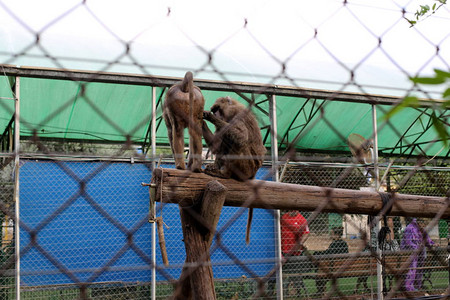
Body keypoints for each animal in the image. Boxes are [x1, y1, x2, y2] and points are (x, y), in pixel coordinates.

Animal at [202, 96, 266, 244]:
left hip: (246, 167)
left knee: (238, 142)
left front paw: (209, 118)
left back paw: (224, 173)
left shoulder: (239, 116)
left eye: (217, 109)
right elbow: (216, 145)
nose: (215, 114)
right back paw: (216, 168)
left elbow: (241, 137)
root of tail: (254, 172)